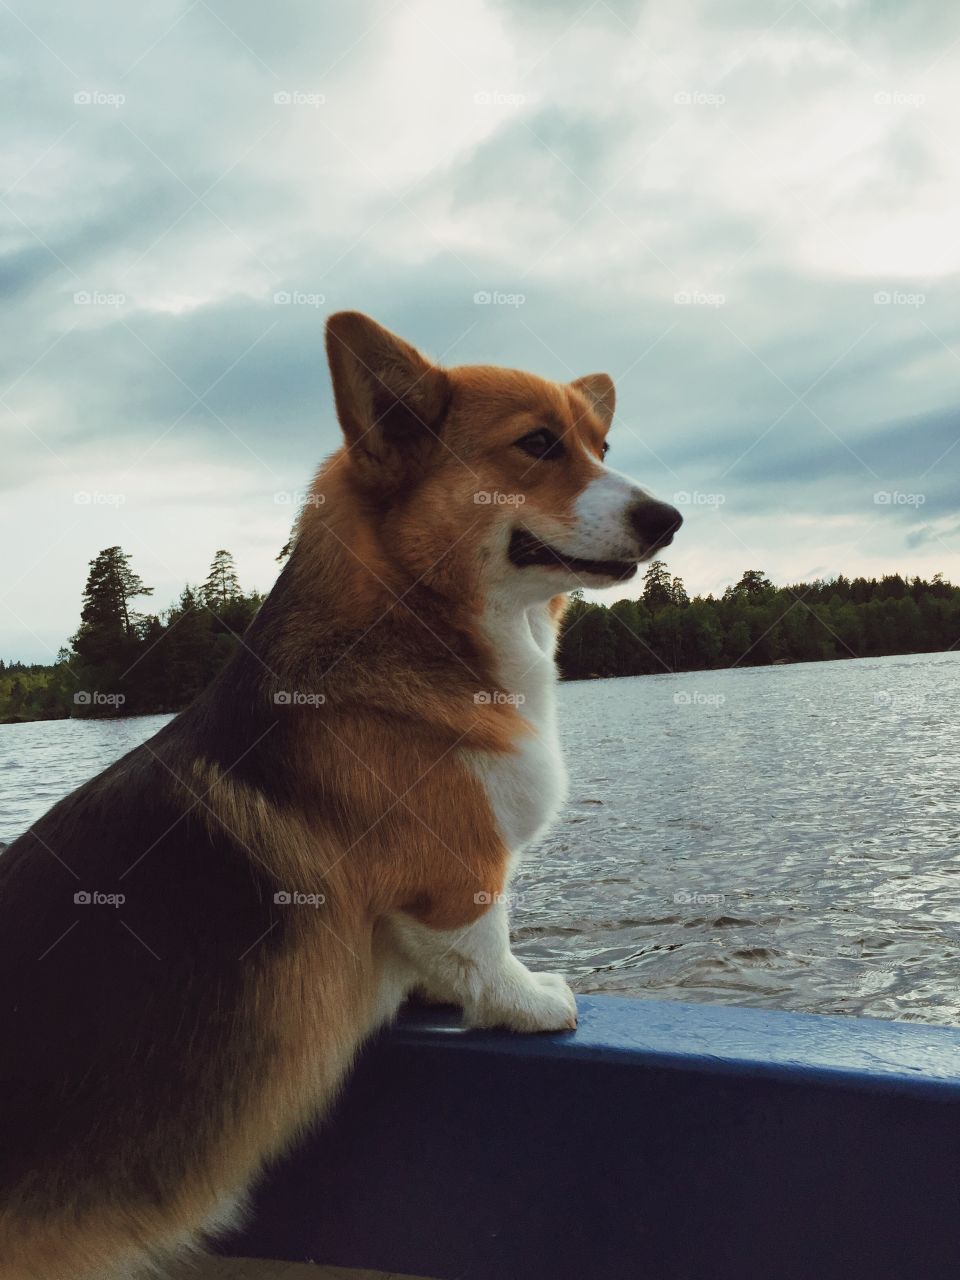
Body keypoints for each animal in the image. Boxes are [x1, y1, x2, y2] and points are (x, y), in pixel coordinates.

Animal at [0, 312, 686, 1280]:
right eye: (539, 445)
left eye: (602, 446)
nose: (669, 519)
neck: (421, 613)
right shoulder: (459, 866)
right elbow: (483, 943)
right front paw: (527, 1003)